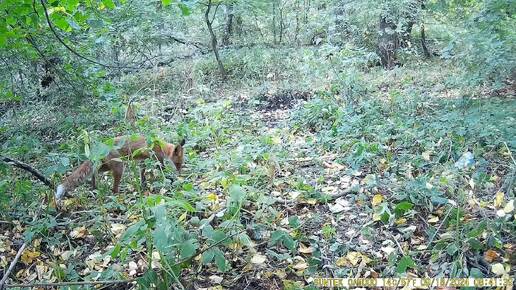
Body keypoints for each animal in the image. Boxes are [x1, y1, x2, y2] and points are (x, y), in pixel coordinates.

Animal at [56, 135, 185, 199]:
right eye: (178, 164)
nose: (180, 174)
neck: (161, 146)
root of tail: (99, 147)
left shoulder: (143, 161)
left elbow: (142, 173)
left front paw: (143, 184)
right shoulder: (156, 159)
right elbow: (162, 170)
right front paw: (170, 180)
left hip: (106, 166)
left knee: (93, 172)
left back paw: (94, 188)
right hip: (119, 167)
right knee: (113, 189)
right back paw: (117, 195)